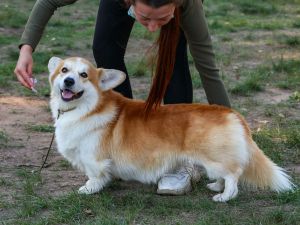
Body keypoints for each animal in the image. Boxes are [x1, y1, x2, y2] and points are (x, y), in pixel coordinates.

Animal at [48, 56, 294, 202]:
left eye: (84, 75)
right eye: (64, 70)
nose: (68, 81)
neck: (86, 108)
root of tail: (233, 114)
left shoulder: (93, 158)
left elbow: (94, 176)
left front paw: (88, 188)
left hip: (214, 158)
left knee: (234, 175)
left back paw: (224, 197)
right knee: (226, 175)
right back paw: (216, 186)